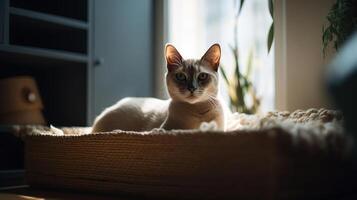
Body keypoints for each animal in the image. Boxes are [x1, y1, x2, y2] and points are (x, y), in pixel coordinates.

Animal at [90, 43, 227, 133]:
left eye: (202, 76)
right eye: (181, 76)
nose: (192, 88)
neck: (197, 111)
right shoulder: (163, 128)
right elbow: (160, 131)